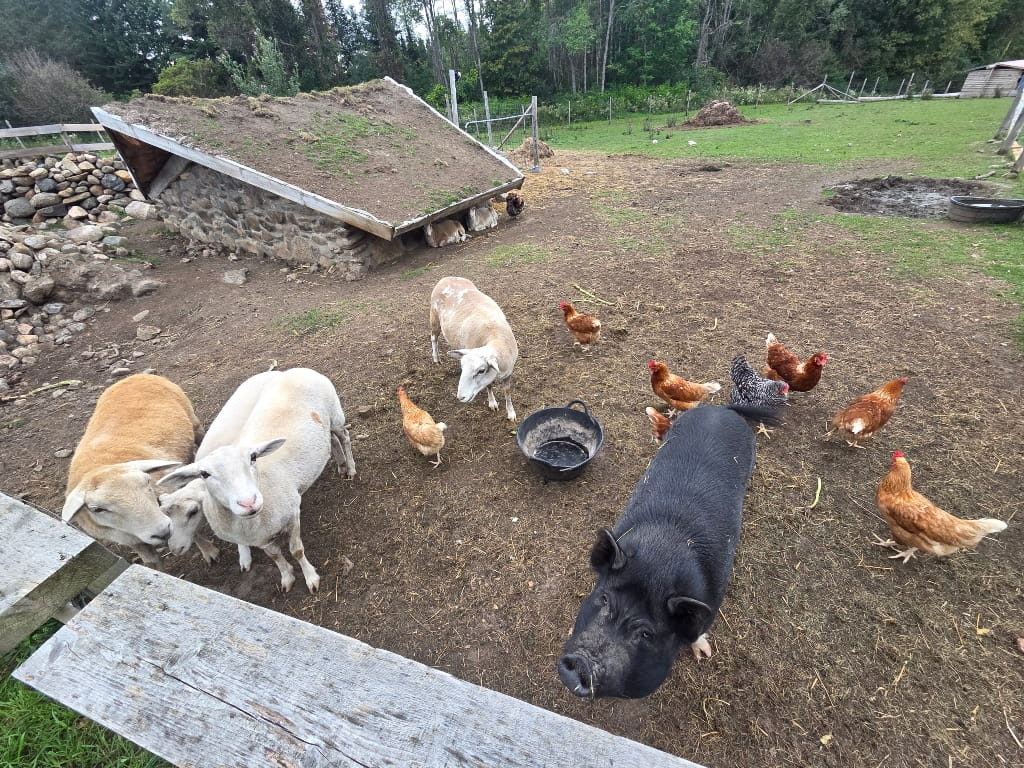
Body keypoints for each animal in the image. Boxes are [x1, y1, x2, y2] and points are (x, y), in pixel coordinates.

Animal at [62, 373, 219, 569]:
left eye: (147, 481)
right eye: (97, 509)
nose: (163, 530)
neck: (98, 468)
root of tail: (134, 376)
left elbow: (192, 528)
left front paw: (208, 551)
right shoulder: (132, 541)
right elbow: (152, 563)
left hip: (194, 421)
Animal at [158, 368, 357, 593]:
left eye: (253, 457)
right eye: (204, 474)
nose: (249, 503)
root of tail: (296, 370)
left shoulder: (292, 513)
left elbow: (296, 550)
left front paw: (311, 578)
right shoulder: (259, 538)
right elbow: (275, 556)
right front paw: (287, 577)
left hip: (335, 415)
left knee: (344, 437)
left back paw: (350, 468)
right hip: (322, 428)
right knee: (331, 440)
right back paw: (341, 465)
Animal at [429, 276, 519, 421]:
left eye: (481, 370)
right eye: (463, 368)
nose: (461, 397)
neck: (494, 337)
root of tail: (447, 278)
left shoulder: (508, 373)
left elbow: (507, 392)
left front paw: (511, 413)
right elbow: (489, 386)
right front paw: (492, 403)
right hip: (434, 317)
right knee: (433, 338)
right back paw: (436, 358)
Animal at [557, 403, 777, 699]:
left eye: (647, 634)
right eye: (603, 599)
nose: (582, 663)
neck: (661, 557)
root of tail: (721, 408)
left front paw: (704, 654)